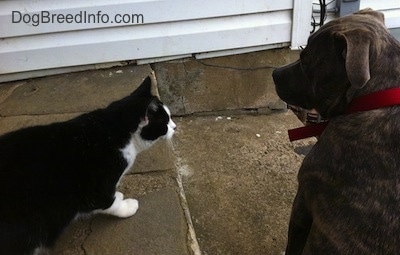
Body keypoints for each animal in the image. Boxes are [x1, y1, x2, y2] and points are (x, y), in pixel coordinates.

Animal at [0, 76, 177, 255]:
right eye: (165, 122)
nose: (175, 127)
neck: (114, 129)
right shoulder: (94, 189)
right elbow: (109, 202)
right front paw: (127, 206)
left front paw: (118, 194)